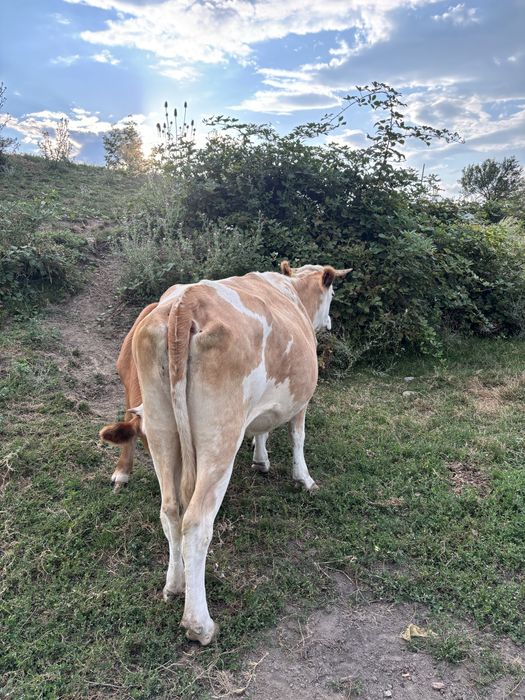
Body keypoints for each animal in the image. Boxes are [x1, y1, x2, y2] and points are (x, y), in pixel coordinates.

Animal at [100, 262, 350, 645]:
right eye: (333, 293)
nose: (331, 323)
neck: (292, 293)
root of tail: (186, 302)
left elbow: (263, 428)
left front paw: (261, 459)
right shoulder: (301, 398)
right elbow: (298, 436)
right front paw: (304, 479)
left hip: (159, 430)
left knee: (170, 512)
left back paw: (174, 585)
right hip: (220, 438)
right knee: (196, 523)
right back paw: (199, 624)